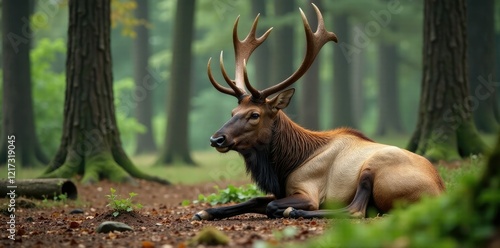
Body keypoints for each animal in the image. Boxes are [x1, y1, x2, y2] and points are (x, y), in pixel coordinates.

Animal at [192, 3, 446, 221]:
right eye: (233, 111)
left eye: (254, 114)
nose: (216, 138)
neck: (285, 166)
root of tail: (440, 191)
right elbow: (253, 199)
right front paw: (204, 212)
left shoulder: (308, 190)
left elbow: (272, 205)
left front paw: (287, 210)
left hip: (374, 165)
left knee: (356, 210)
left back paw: (295, 212)